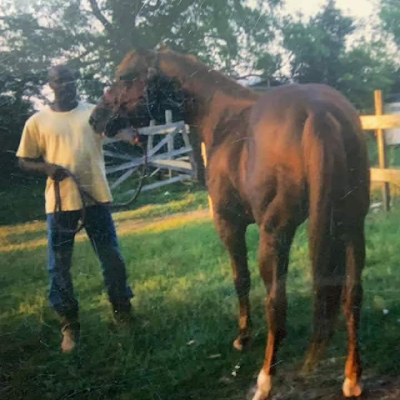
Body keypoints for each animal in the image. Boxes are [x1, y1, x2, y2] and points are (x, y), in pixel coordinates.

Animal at [90, 48, 368, 398]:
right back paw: (352, 378)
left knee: (276, 304)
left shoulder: (228, 224)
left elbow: (241, 279)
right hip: (351, 227)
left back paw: (265, 380)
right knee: (352, 296)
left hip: (275, 235)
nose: (96, 118)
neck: (223, 118)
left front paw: (242, 337)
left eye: (125, 77)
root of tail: (318, 112)